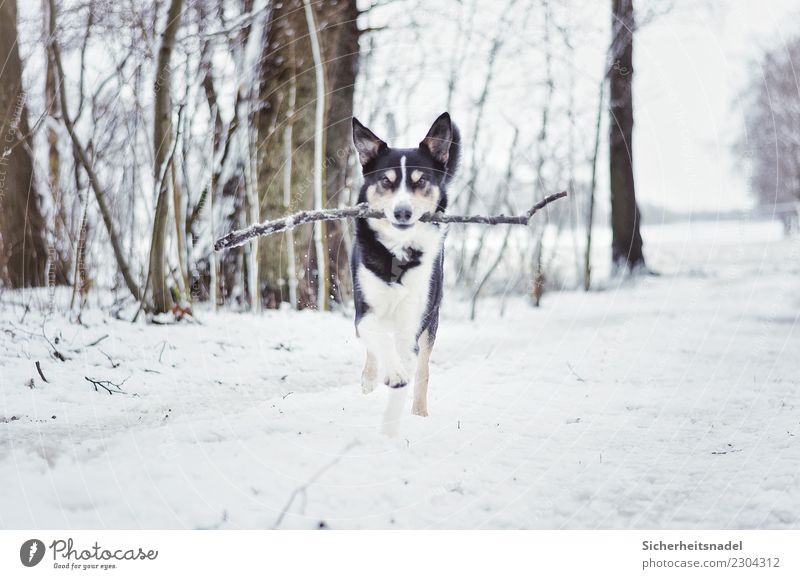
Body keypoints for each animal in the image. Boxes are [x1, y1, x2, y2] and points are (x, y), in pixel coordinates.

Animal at [352, 113, 460, 416]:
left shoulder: (416, 317)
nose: (402, 212)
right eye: (385, 181)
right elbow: (377, 338)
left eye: (421, 180)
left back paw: (419, 414)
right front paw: (389, 374)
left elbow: (410, 361)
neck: (398, 253)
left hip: (431, 320)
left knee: (423, 370)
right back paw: (370, 378)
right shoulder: (364, 309)